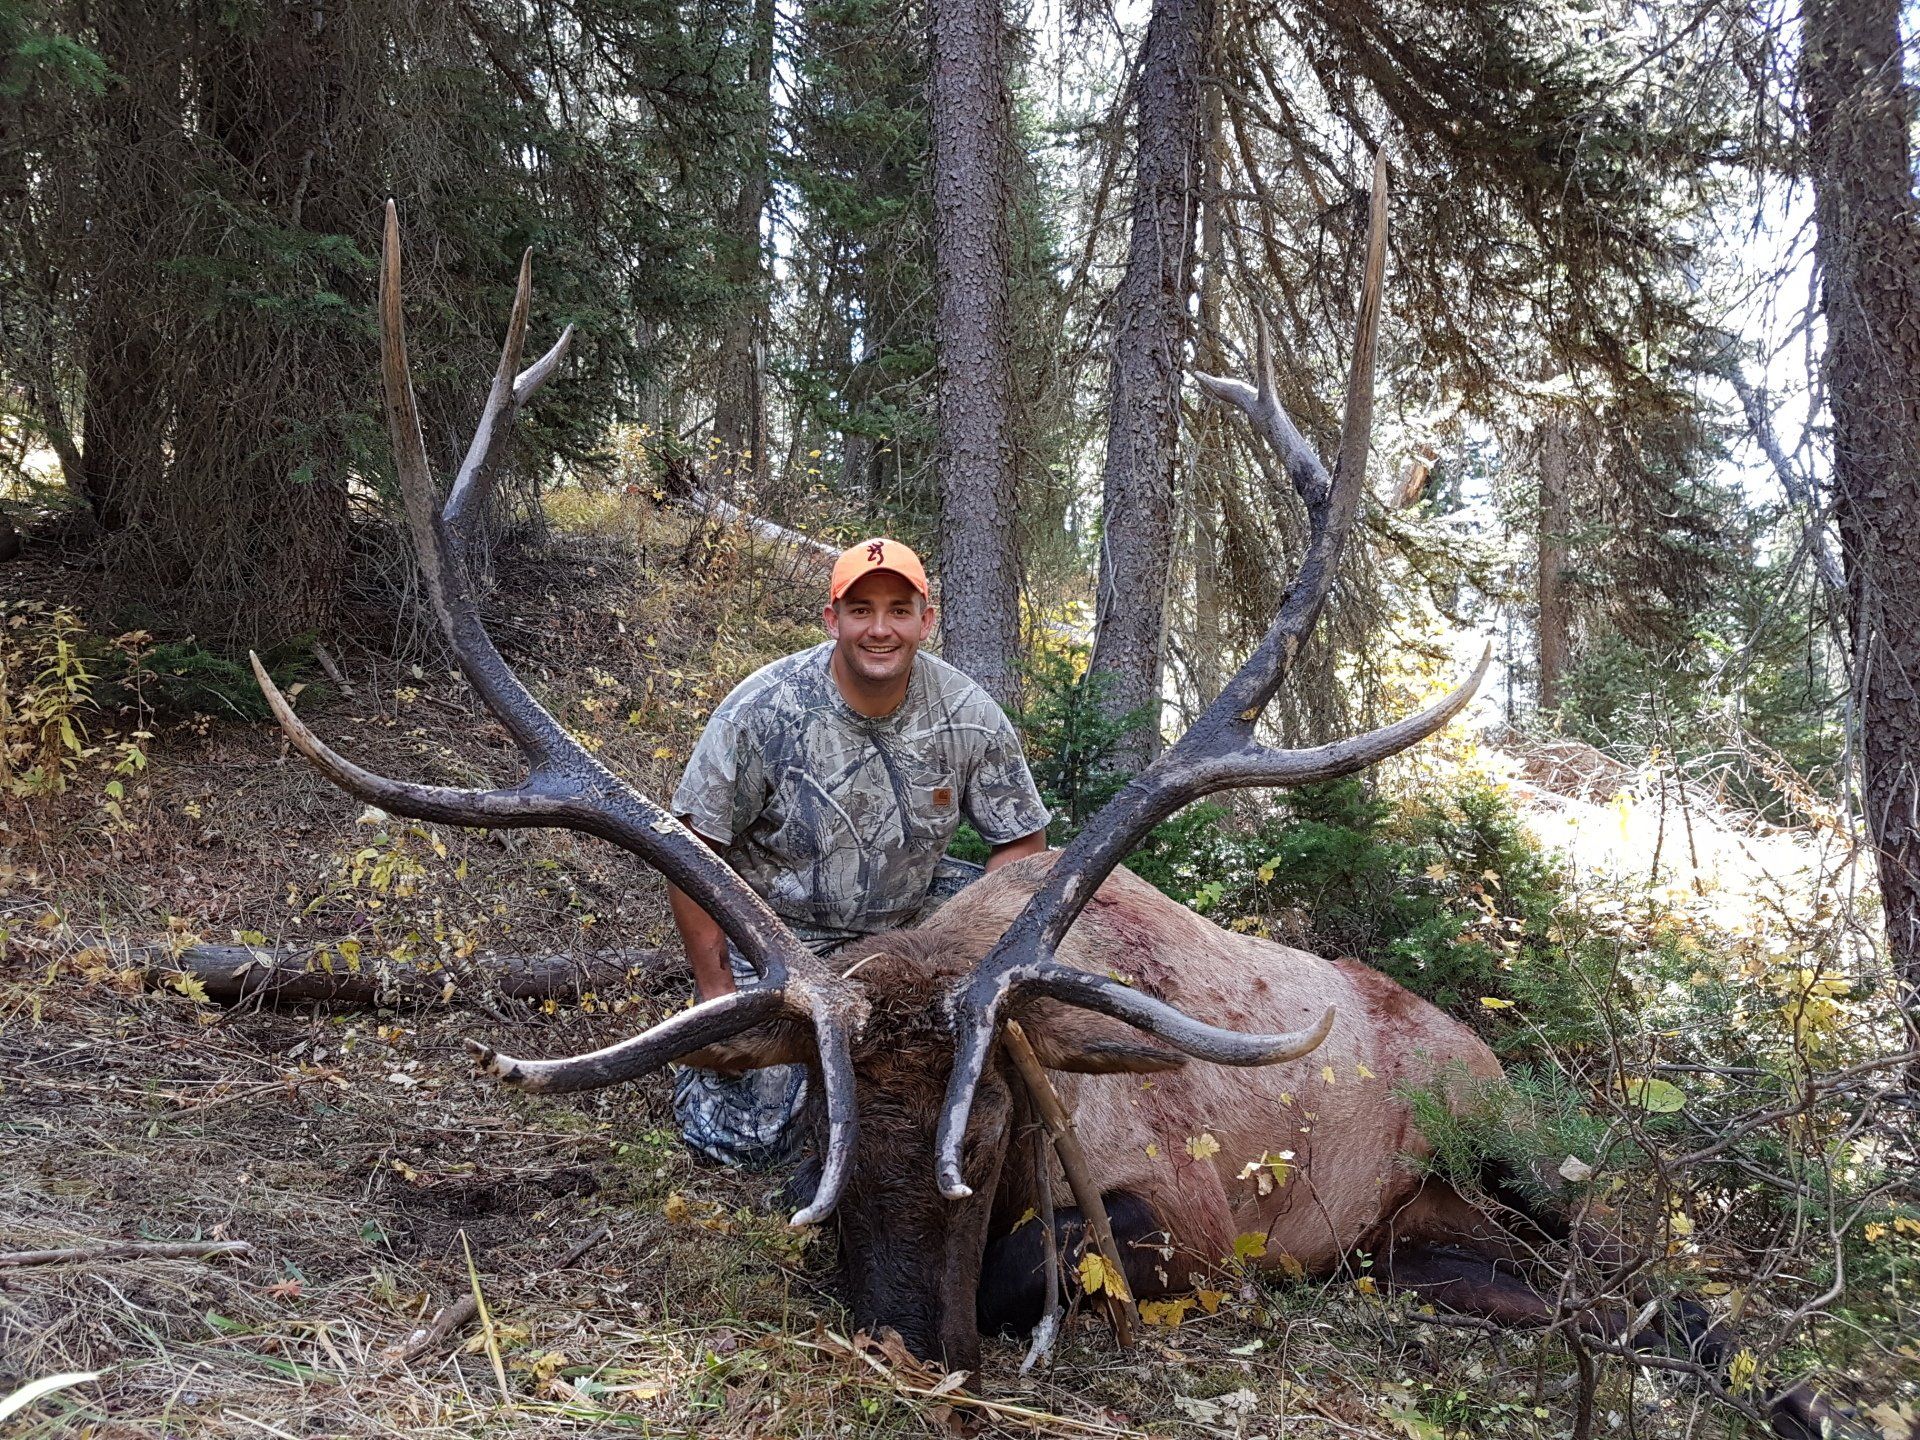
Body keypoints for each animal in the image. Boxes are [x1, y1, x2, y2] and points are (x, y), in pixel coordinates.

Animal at [252, 180, 1860, 1439]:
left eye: (993, 1147)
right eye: (834, 1166)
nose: (907, 1350)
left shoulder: (1181, 1205)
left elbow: (1066, 1260)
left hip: (1511, 1140)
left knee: (1662, 1280)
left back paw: (1792, 1391)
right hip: (1431, 1242)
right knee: (1559, 1294)